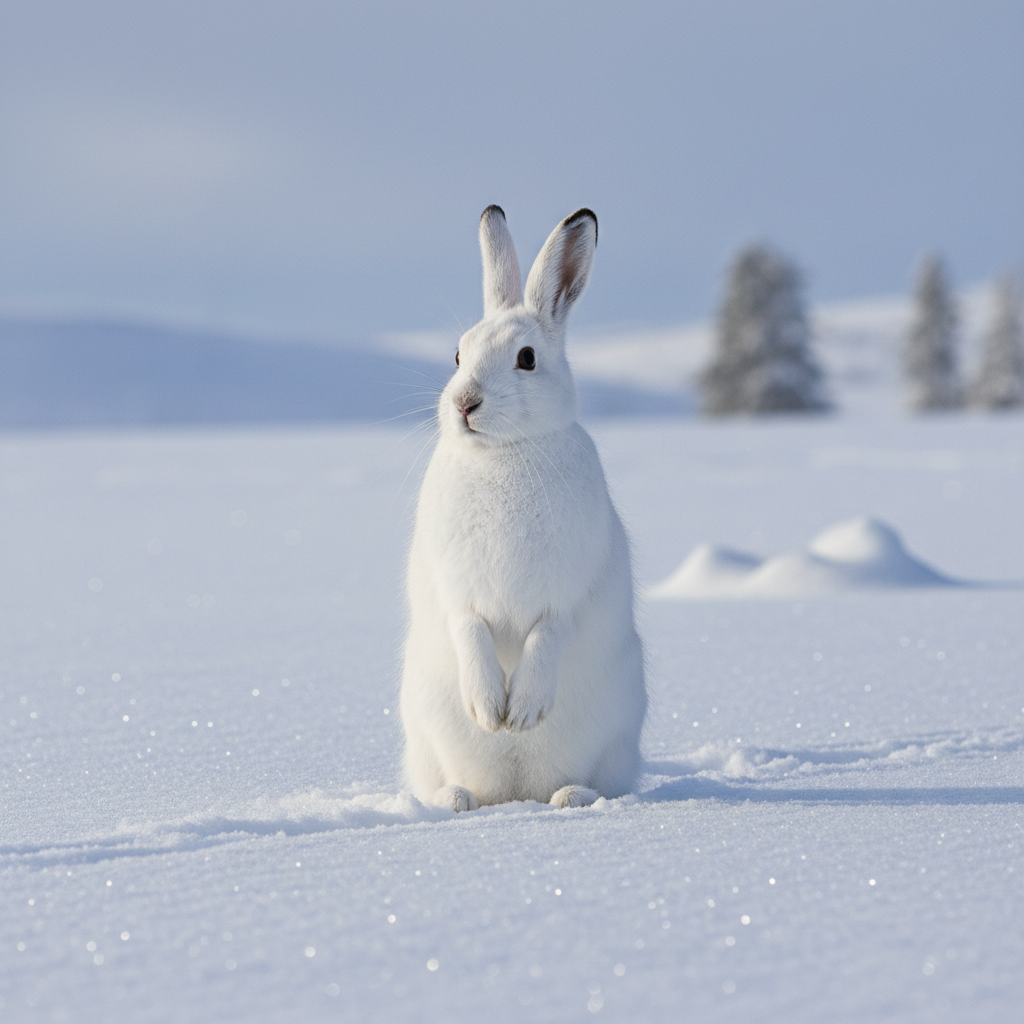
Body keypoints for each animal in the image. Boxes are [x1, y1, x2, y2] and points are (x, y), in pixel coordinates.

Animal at [399, 205, 647, 812]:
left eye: (527, 359)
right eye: (458, 354)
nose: (465, 403)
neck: (503, 453)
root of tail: (513, 792)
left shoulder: (569, 588)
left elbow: (549, 633)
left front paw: (524, 712)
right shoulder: (455, 587)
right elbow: (469, 628)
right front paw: (492, 712)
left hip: (618, 734)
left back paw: (569, 796)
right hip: (422, 735)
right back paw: (455, 799)